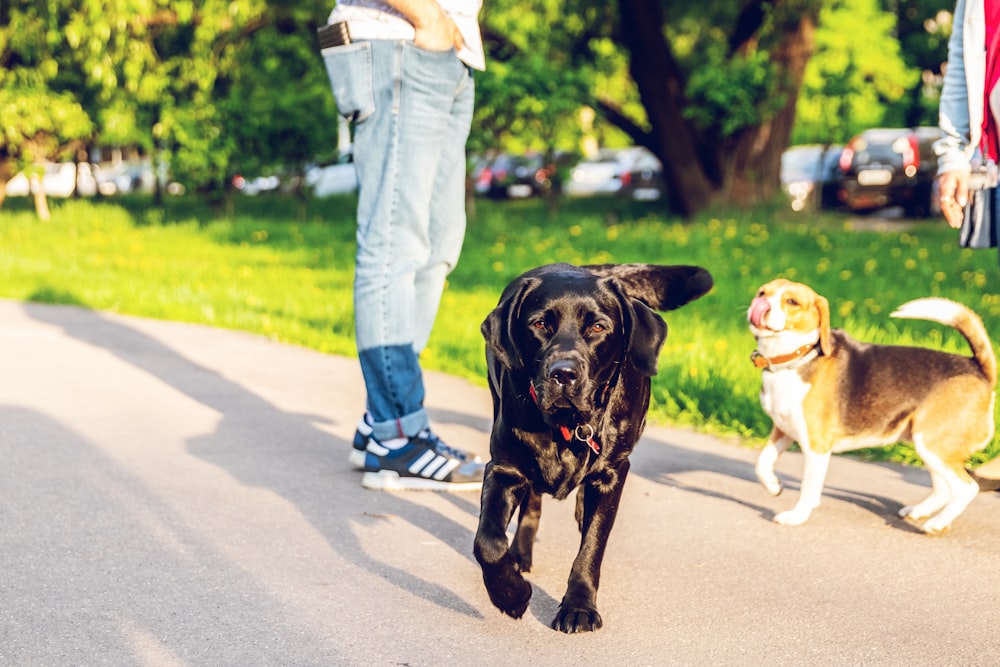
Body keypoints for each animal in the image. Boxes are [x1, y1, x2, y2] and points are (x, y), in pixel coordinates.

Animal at [748, 280, 996, 536]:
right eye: (762, 293)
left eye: (792, 302)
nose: (760, 304)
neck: (797, 358)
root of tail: (977, 367)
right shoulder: (783, 429)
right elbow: (762, 463)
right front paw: (773, 485)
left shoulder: (816, 446)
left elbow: (808, 487)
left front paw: (797, 516)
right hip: (928, 444)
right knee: (944, 488)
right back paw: (920, 512)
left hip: (932, 444)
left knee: (967, 487)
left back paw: (936, 523)